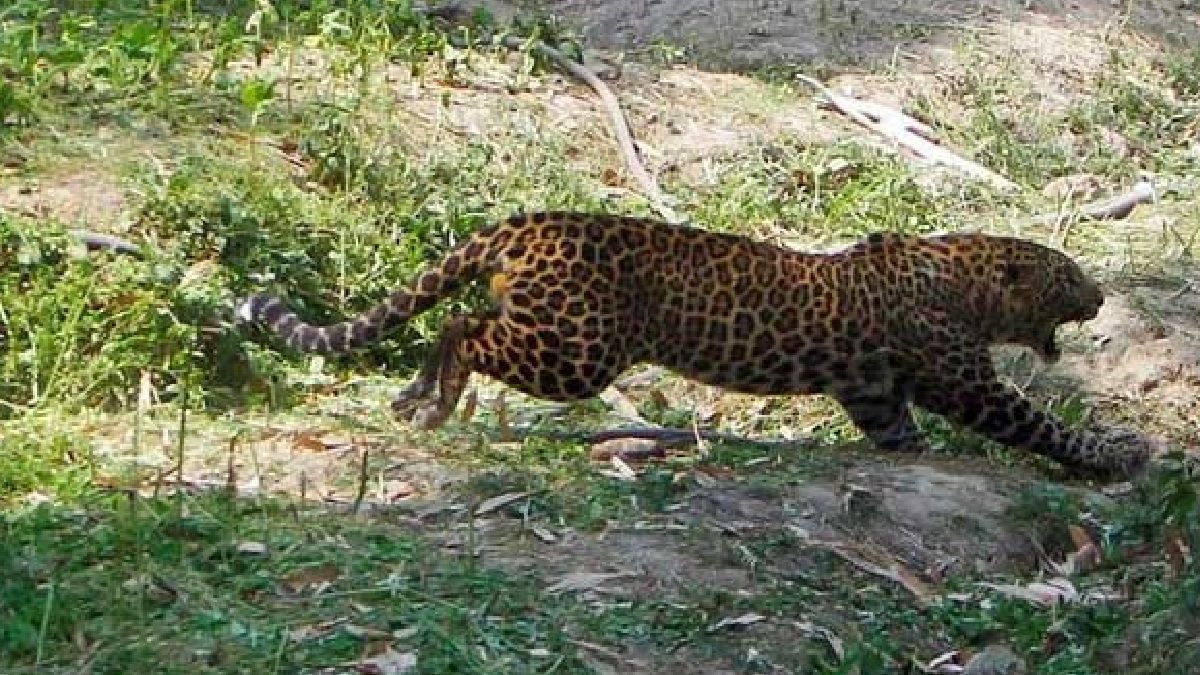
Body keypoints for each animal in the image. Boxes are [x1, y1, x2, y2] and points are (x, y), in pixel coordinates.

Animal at [236, 211, 1152, 478]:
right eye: (1070, 275)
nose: (1102, 295)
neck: (960, 277)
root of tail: (525, 222)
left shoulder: (871, 388)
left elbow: (897, 433)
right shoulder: (964, 379)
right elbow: (1040, 424)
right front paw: (1121, 457)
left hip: (557, 338)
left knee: (452, 322)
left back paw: (416, 395)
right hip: (575, 351)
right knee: (461, 327)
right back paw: (436, 399)